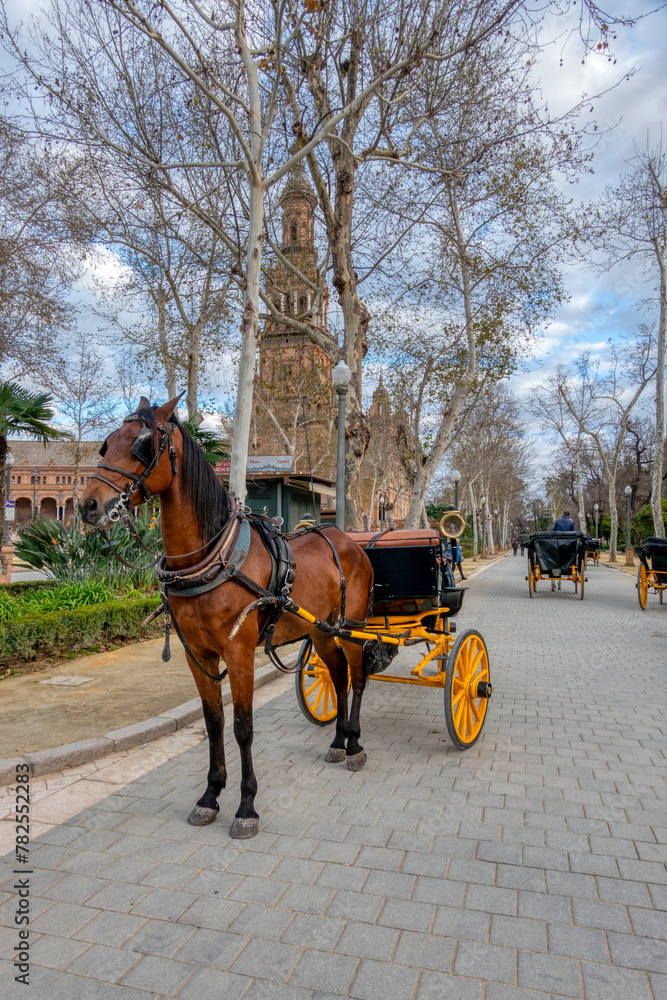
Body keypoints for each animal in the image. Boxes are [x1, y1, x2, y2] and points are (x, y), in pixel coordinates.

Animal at [79, 396, 376, 836]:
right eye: (106, 445)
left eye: (142, 445)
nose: (89, 505)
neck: (210, 559)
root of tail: (347, 539)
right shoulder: (198, 655)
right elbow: (214, 723)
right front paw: (210, 796)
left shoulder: (239, 653)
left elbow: (243, 727)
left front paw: (246, 805)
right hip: (320, 631)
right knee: (337, 676)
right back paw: (338, 742)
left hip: (349, 627)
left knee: (356, 676)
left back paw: (354, 743)